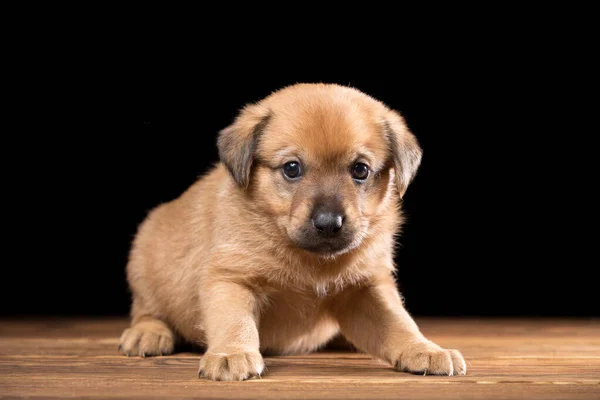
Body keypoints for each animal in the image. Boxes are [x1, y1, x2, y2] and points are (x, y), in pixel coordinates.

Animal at [118, 83, 468, 380]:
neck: (310, 261)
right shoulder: (230, 278)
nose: (329, 223)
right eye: (291, 168)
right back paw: (147, 333)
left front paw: (424, 349)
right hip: (144, 265)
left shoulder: (367, 287)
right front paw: (232, 354)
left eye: (360, 170)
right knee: (147, 311)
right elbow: (234, 321)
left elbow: (398, 322)